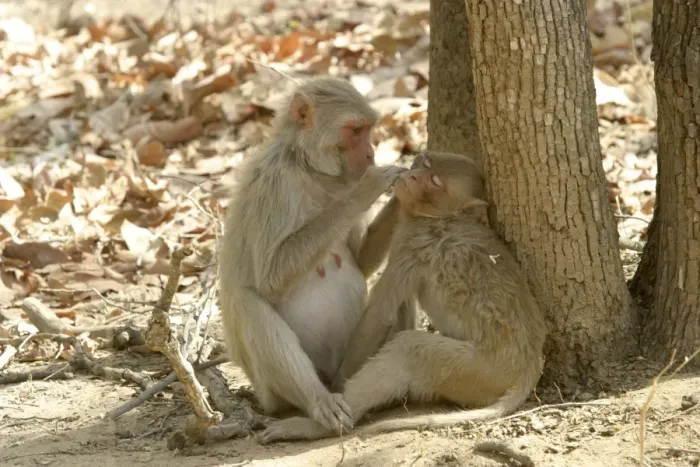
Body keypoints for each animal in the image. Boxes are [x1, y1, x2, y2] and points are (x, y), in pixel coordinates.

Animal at [218, 76, 407, 433]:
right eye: (355, 130)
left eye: (369, 129)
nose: (371, 153)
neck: (310, 169)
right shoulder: (275, 182)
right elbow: (271, 278)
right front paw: (370, 188)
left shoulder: (340, 180)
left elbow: (361, 262)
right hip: (271, 393)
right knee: (248, 303)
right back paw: (318, 402)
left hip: (348, 362)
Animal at [258, 151, 548, 444]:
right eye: (424, 164)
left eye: (434, 180)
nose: (414, 172)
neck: (442, 217)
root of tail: (530, 365)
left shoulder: (411, 246)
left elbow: (380, 312)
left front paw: (337, 385)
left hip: (480, 370)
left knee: (409, 349)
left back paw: (317, 427)